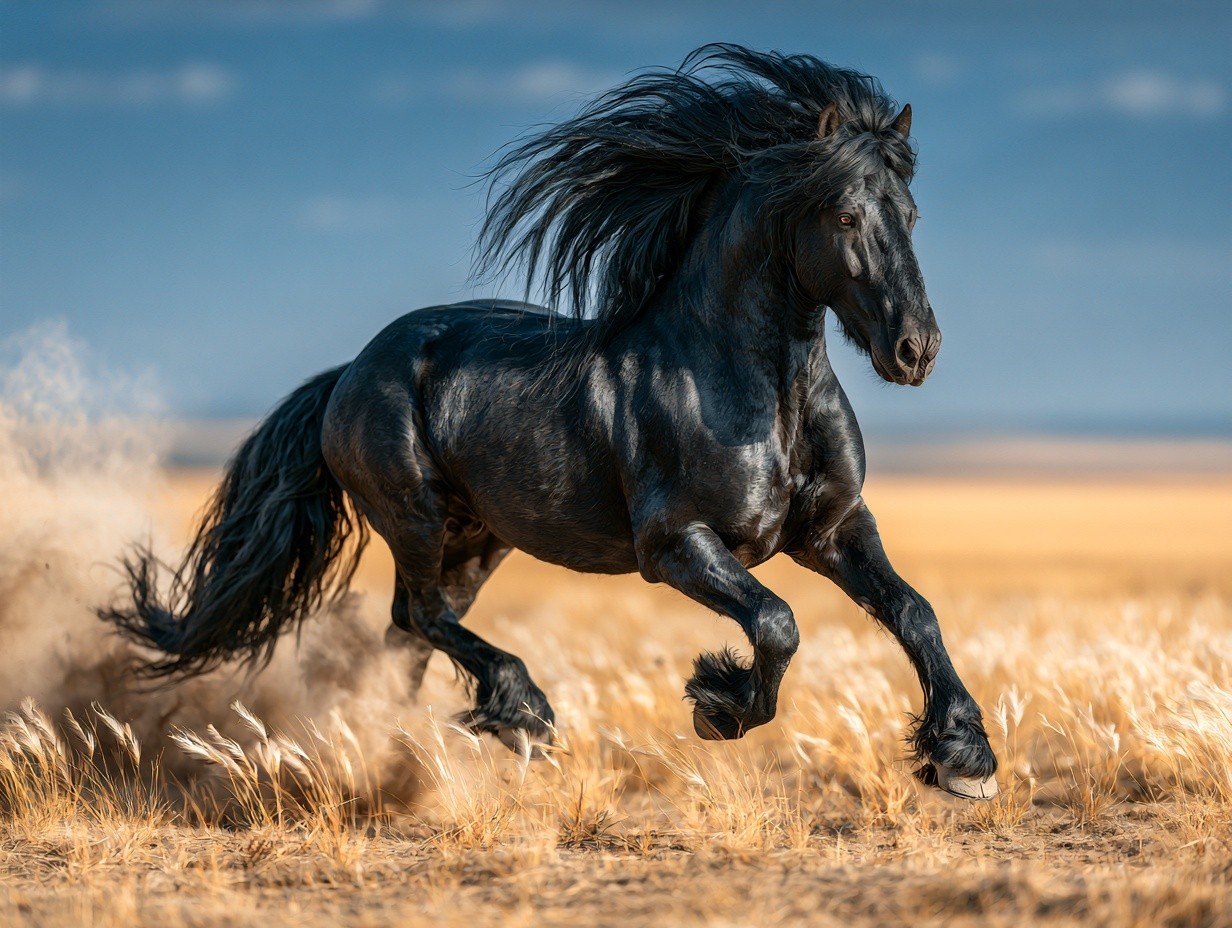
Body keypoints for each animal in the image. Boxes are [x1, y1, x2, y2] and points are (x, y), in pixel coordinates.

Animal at [101, 44, 998, 799]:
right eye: (844, 215)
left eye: (910, 214)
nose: (916, 348)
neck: (752, 392)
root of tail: (347, 375)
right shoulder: (675, 545)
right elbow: (777, 624)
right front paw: (718, 703)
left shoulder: (834, 529)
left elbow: (914, 612)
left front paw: (963, 758)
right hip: (416, 518)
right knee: (420, 617)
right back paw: (520, 716)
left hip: (477, 540)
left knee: (412, 637)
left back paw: (395, 760)